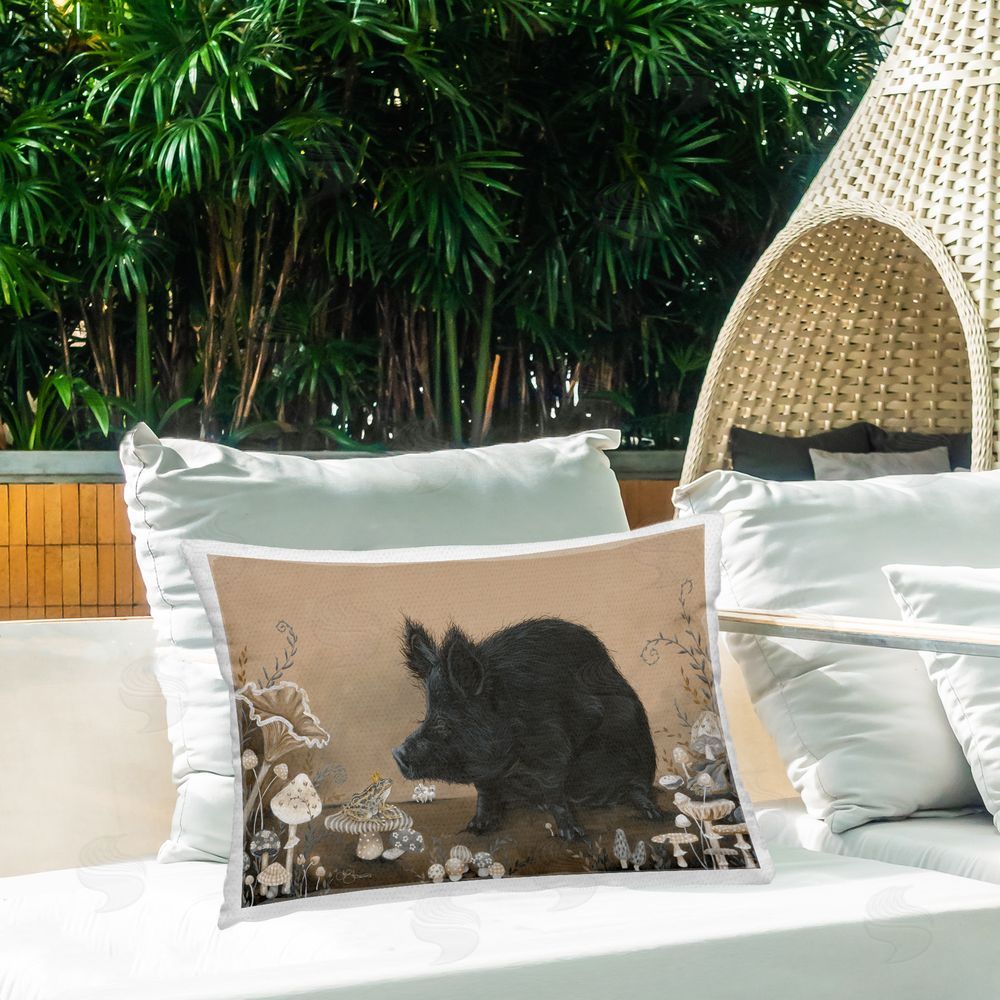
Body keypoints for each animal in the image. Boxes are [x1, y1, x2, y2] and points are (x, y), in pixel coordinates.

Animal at [391, 616, 663, 840]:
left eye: (443, 722)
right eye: (426, 716)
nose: (397, 753)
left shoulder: (553, 751)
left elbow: (554, 793)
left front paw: (573, 834)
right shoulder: (488, 777)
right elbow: (485, 794)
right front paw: (475, 827)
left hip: (639, 749)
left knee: (637, 788)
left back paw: (654, 813)